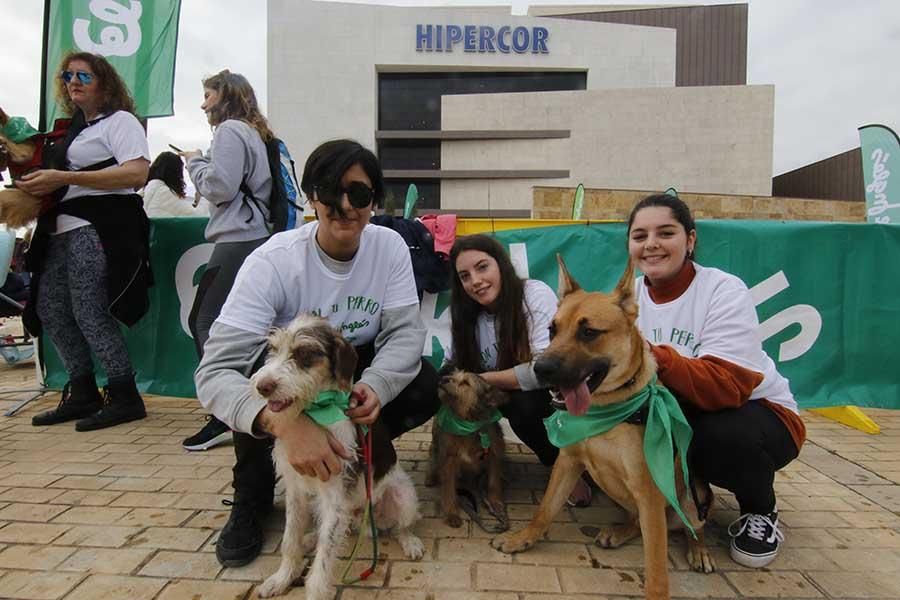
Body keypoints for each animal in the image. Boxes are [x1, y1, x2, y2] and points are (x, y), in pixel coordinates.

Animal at [251, 314, 424, 600]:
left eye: (305, 353)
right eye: (273, 350)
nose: (263, 386)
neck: (319, 412)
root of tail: (363, 519)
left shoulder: (334, 496)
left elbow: (324, 558)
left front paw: (314, 591)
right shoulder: (295, 488)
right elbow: (289, 539)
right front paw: (282, 577)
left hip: (403, 497)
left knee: (401, 526)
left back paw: (410, 541)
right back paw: (310, 538)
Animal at [428, 368, 510, 532]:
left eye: (465, 382)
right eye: (452, 375)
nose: (443, 378)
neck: (468, 424)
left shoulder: (493, 455)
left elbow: (493, 482)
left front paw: (496, 504)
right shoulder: (448, 460)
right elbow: (449, 489)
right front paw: (452, 514)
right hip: (435, 446)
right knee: (434, 462)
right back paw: (431, 476)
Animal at [488, 256, 712, 600]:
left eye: (589, 332)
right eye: (552, 329)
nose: (539, 370)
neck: (605, 411)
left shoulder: (649, 490)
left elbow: (656, 565)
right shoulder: (568, 462)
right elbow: (544, 509)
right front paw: (521, 538)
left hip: (691, 494)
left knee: (692, 527)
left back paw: (698, 549)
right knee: (637, 520)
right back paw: (619, 532)